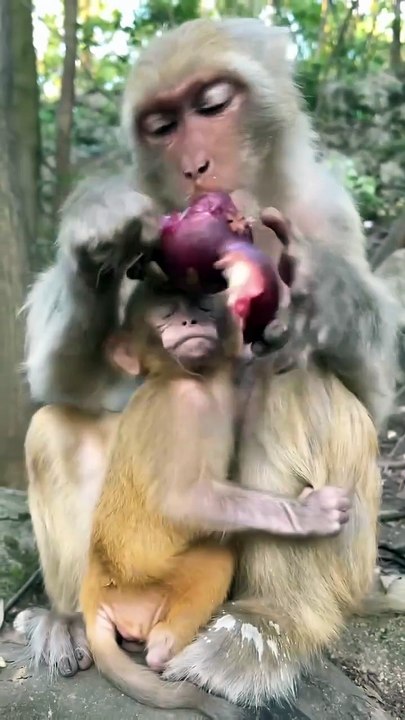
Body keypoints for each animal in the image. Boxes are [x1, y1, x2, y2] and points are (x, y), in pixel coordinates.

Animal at [78, 282, 350, 717]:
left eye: (202, 306)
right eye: (166, 315)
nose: (190, 321)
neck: (191, 376)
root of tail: (93, 592)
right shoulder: (184, 407)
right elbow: (183, 502)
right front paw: (309, 515)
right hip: (148, 586)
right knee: (218, 553)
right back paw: (165, 650)